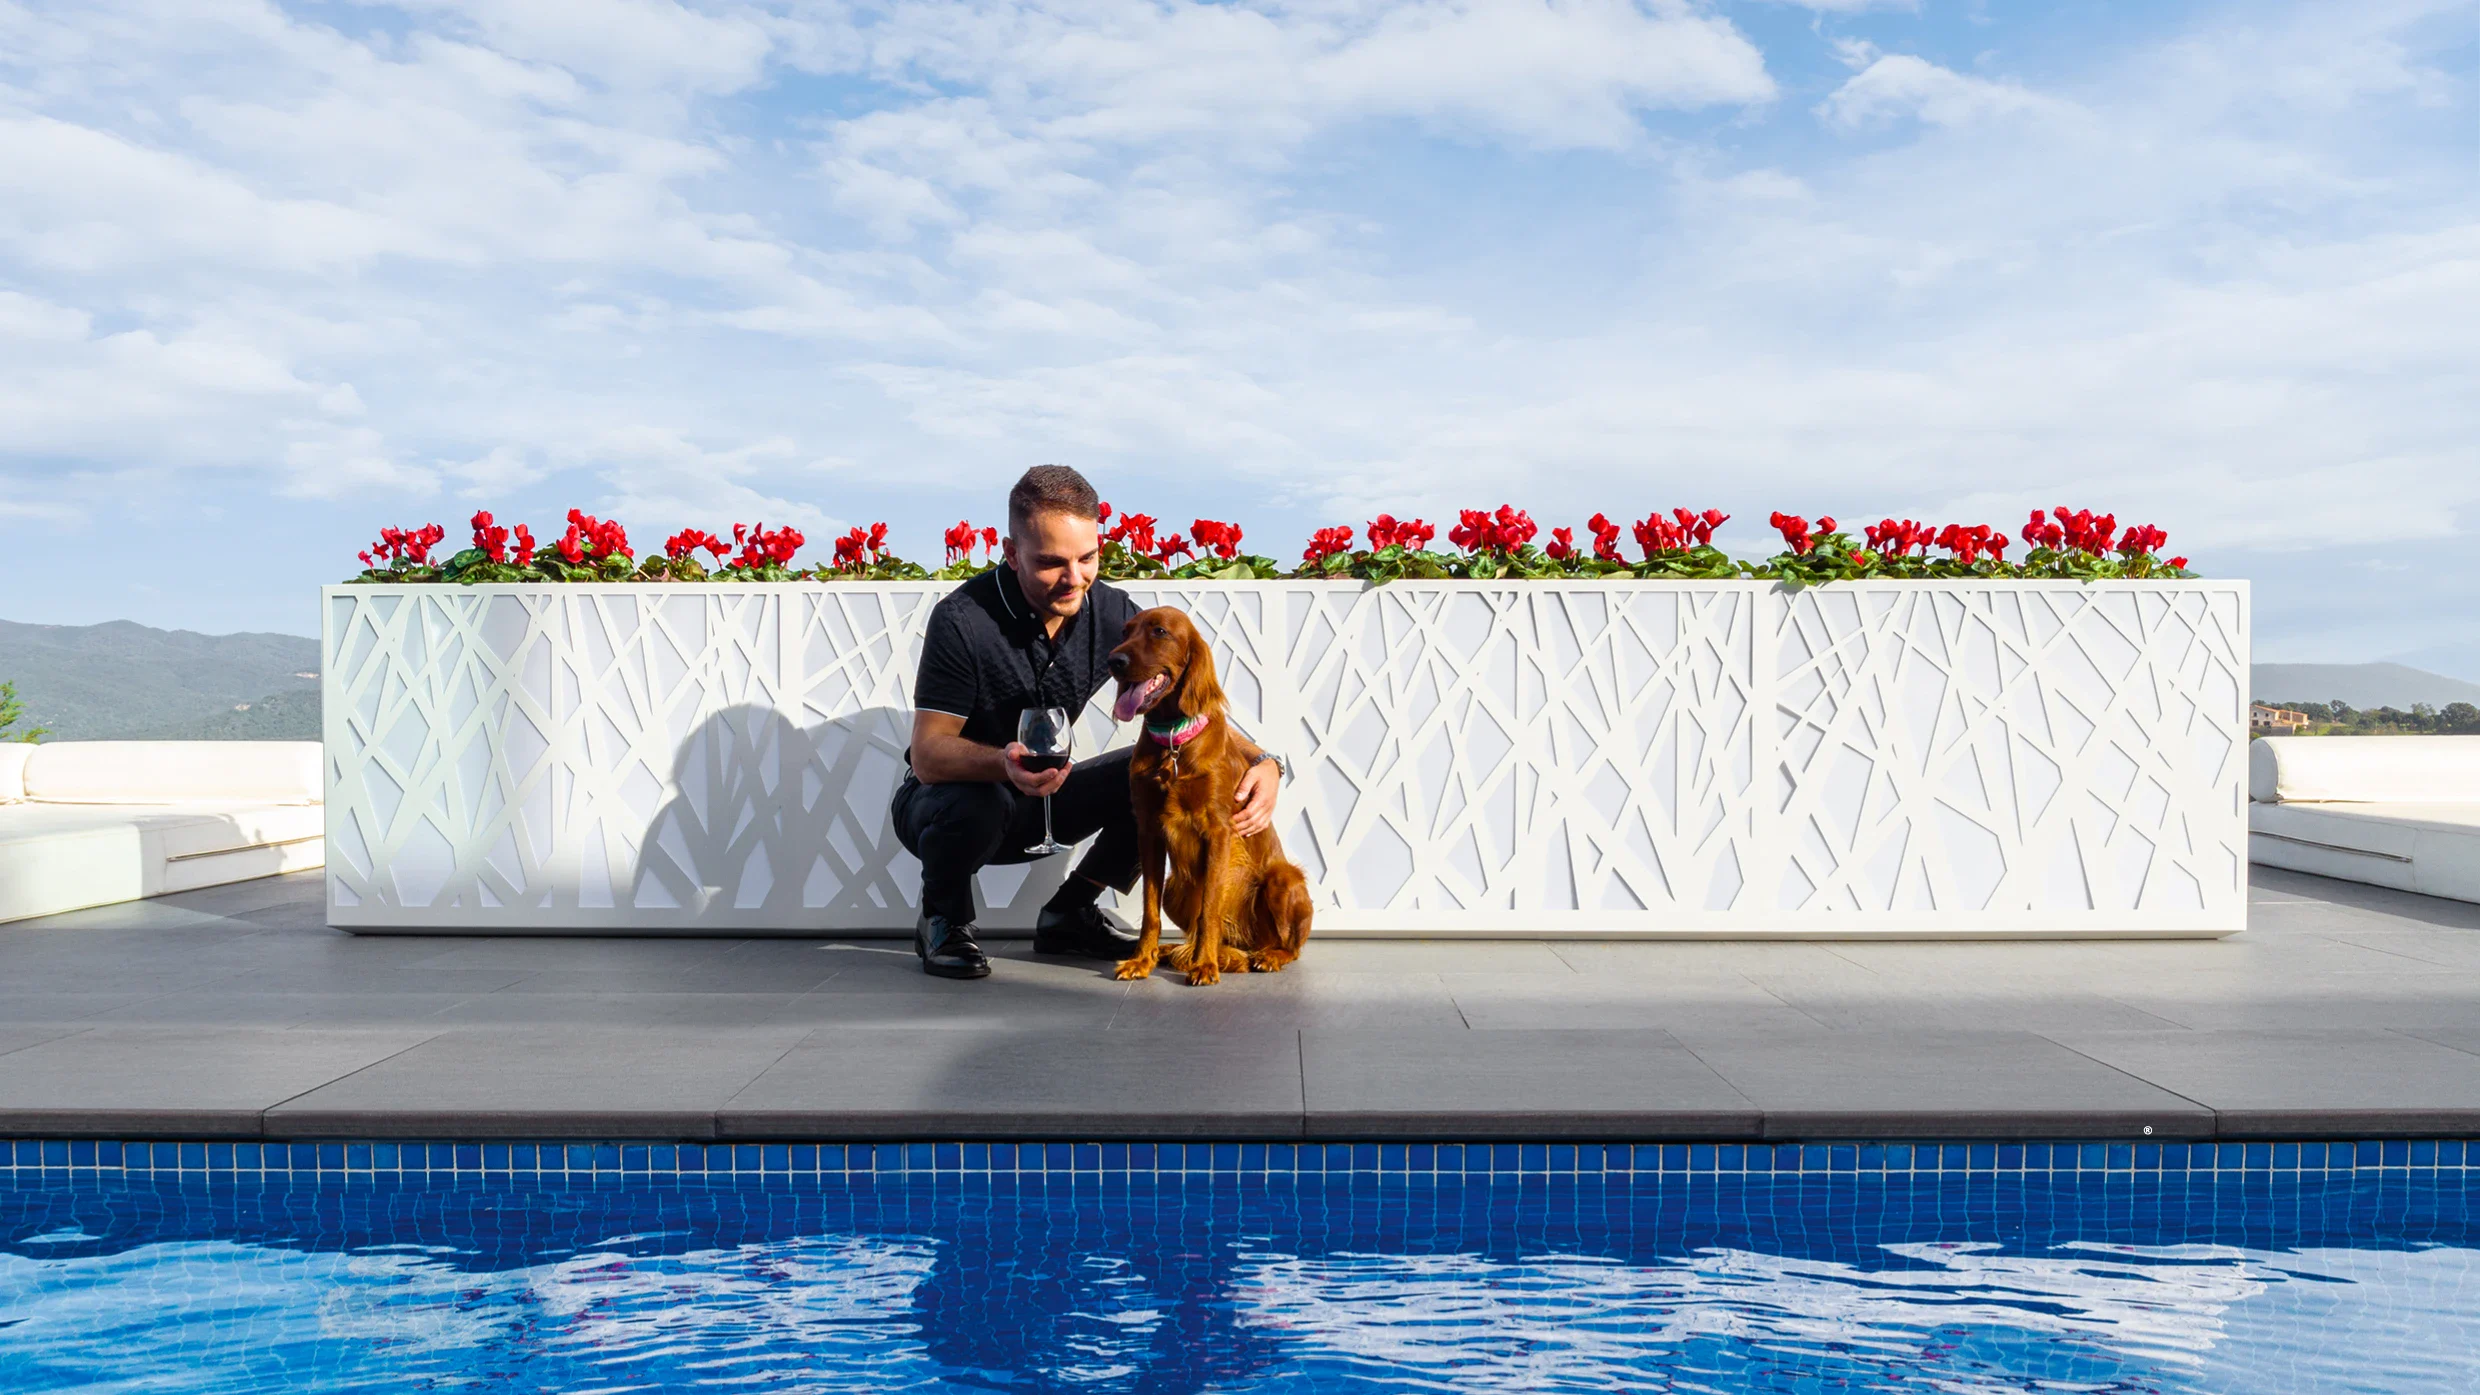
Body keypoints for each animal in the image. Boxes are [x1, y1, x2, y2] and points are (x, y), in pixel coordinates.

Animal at [1111, 603, 1319, 982]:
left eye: (1159, 631)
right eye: (1124, 632)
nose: (1113, 661)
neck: (1173, 742)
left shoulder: (1218, 832)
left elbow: (1209, 909)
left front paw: (1204, 965)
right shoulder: (1148, 831)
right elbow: (1150, 910)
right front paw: (1141, 960)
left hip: (1283, 879)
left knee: (1291, 948)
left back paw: (1264, 956)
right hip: (1175, 887)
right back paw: (1178, 952)